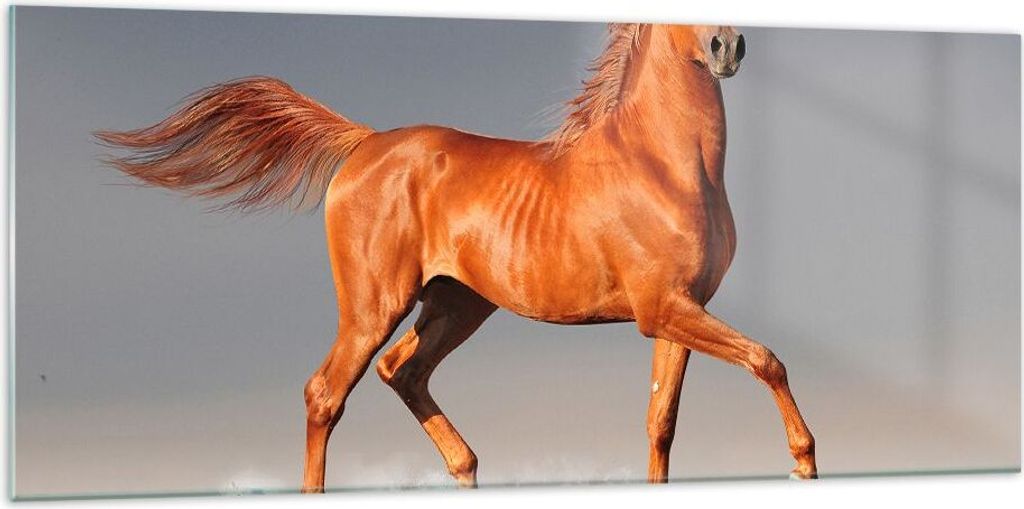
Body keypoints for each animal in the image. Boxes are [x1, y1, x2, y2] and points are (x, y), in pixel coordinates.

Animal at [96, 22, 817, 493]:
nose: (728, 47)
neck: (662, 164)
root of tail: (364, 144)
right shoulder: (661, 308)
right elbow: (768, 359)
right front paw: (804, 461)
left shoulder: (679, 312)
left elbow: (660, 423)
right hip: (375, 305)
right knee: (327, 393)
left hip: (456, 305)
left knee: (402, 372)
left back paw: (467, 469)